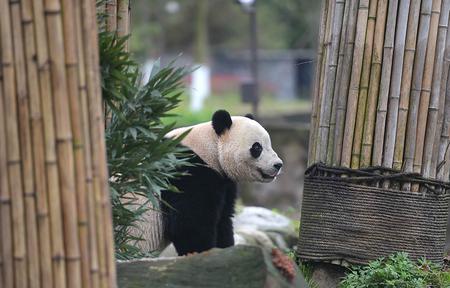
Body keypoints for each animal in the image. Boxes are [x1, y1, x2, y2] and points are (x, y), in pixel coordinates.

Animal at [160, 109, 284, 255]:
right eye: (257, 148)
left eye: (269, 144)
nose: (278, 165)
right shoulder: (186, 172)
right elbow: (189, 224)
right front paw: (203, 253)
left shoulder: (223, 182)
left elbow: (223, 220)